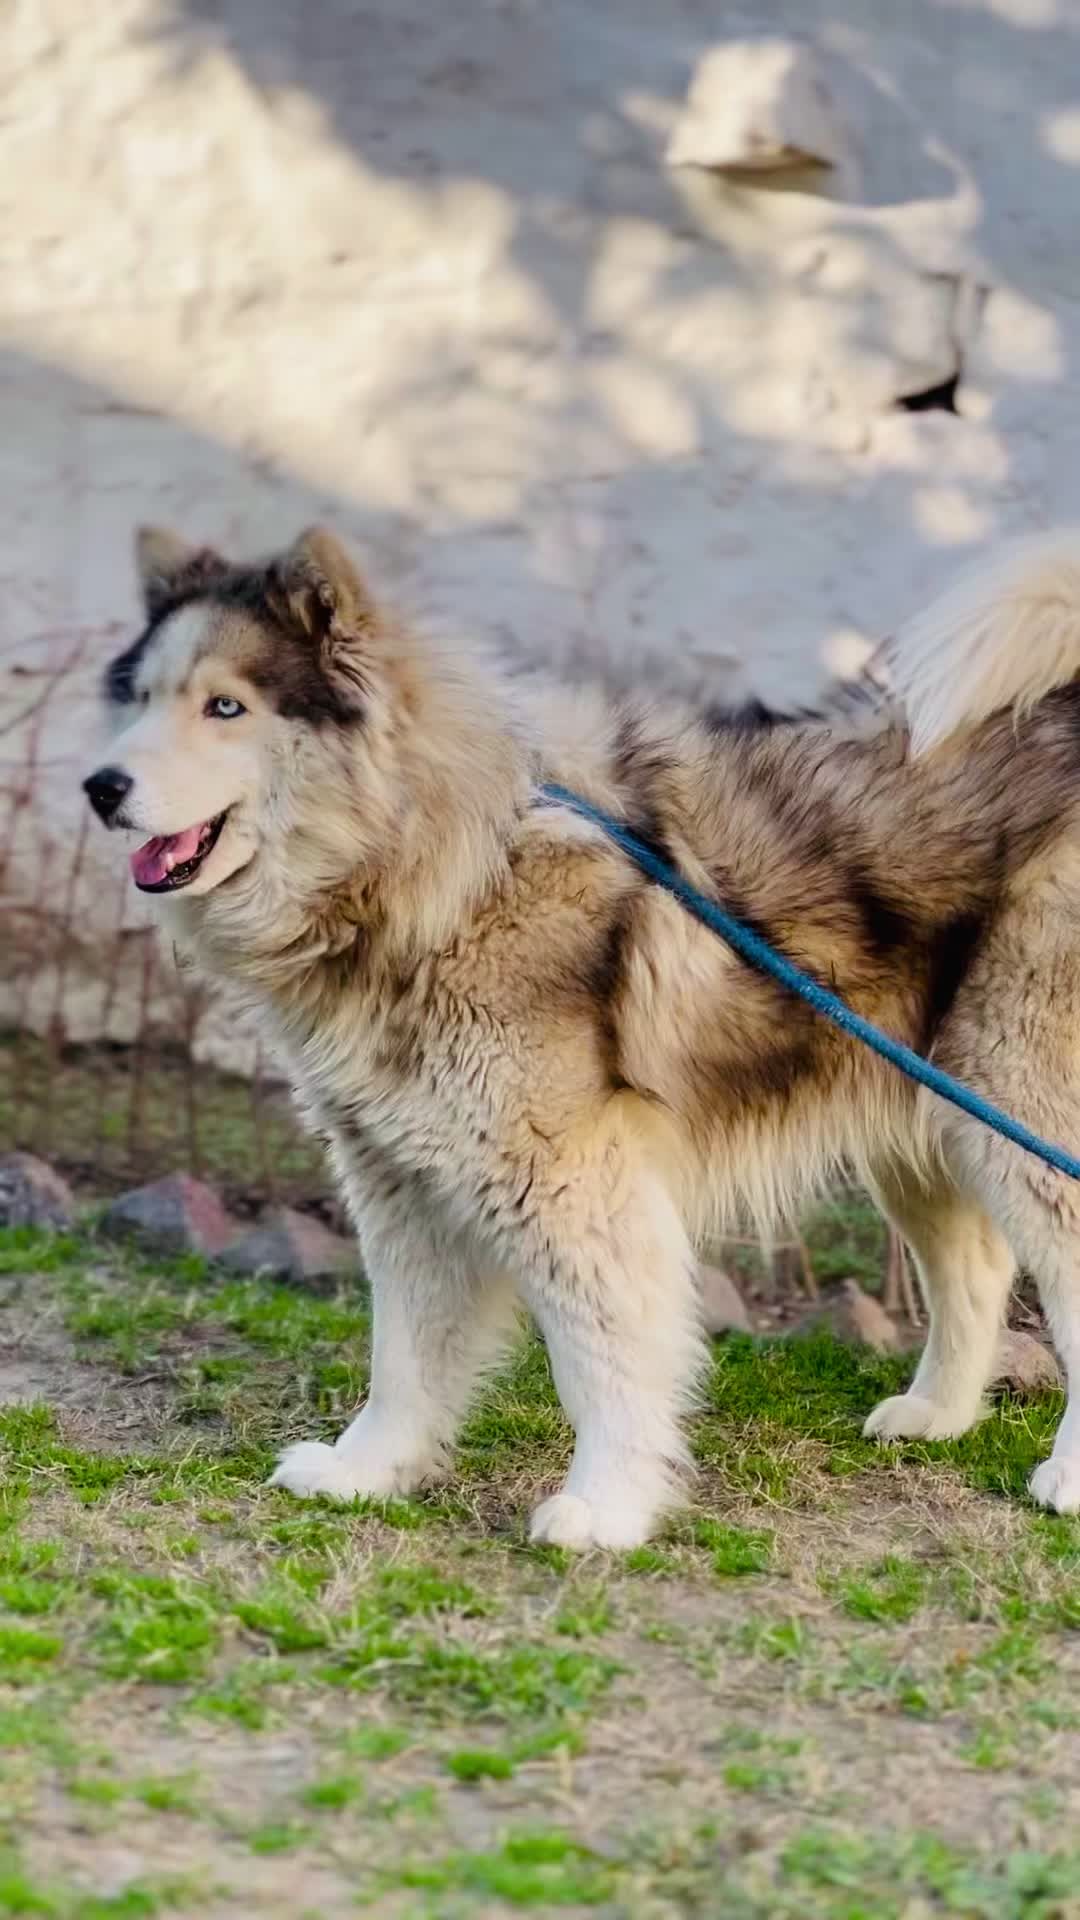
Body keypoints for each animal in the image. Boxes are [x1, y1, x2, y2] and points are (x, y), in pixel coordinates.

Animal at [82, 522, 1080, 1546]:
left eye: (226, 706)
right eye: (142, 699)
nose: (99, 787)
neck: (437, 867)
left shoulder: (569, 1181)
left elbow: (602, 1360)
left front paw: (606, 1506)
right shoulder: (399, 1180)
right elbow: (402, 1354)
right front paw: (369, 1470)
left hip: (1015, 1099)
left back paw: (1066, 1473)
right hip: (930, 1113)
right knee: (976, 1266)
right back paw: (937, 1416)